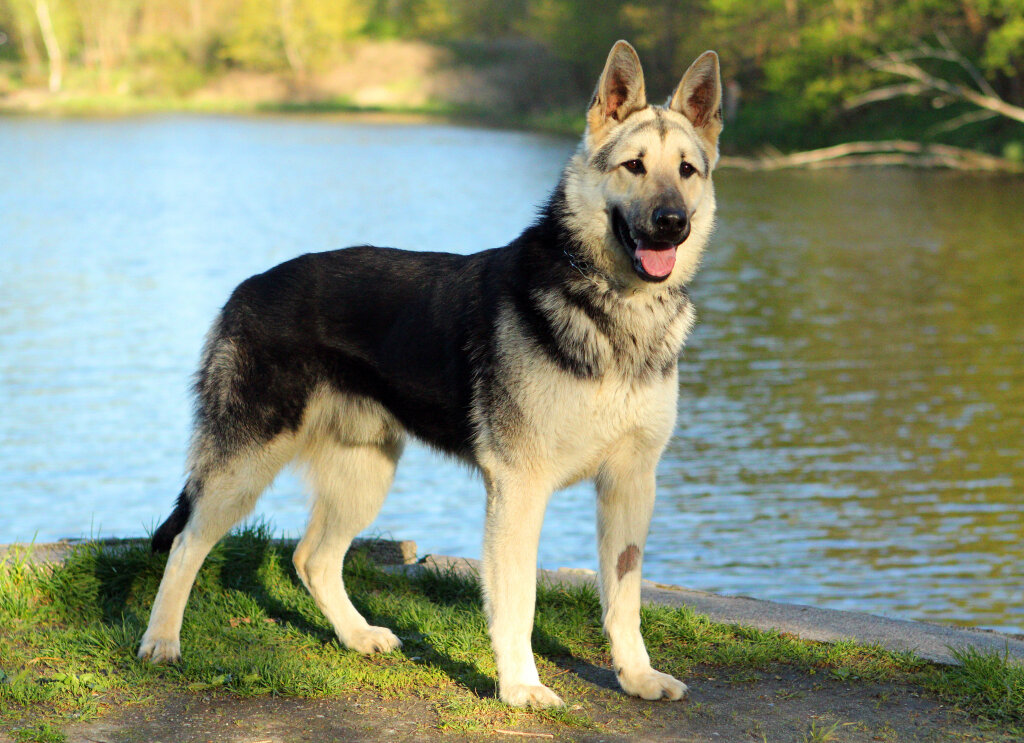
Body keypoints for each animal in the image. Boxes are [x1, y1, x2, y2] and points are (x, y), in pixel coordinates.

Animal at [140, 40, 724, 708]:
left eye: (687, 171)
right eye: (634, 166)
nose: (672, 222)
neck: (613, 308)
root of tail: (245, 287)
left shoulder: (631, 483)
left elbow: (624, 598)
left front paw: (635, 676)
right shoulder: (520, 489)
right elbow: (518, 603)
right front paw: (521, 688)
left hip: (365, 473)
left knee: (312, 559)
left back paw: (357, 636)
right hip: (245, 467)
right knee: (187, 544)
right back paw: (160, 642)